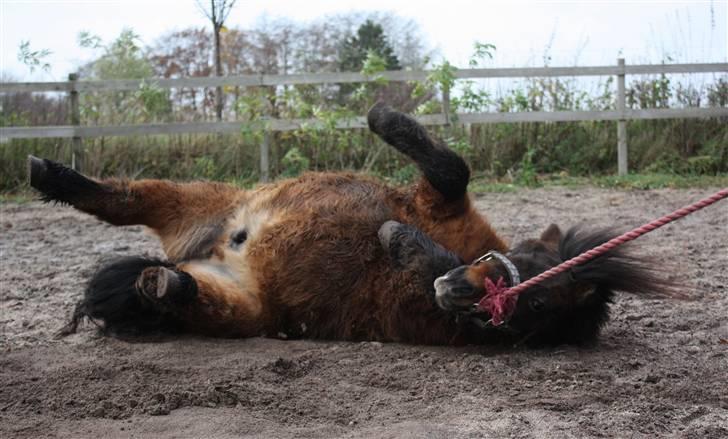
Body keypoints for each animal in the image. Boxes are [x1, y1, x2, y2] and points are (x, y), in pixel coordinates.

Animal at [31, 104, 664, 348]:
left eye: (539, 305)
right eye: (534, 265)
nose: (457, 290)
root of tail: (213, 249)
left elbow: (446, 180)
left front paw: (396, 240)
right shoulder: (440, 204)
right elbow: (450, 167)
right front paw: (382, 116)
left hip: (243, 307)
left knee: (184, 290)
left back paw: (161, 284)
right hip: (204, 201)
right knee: (124, 199)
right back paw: (50, 173)